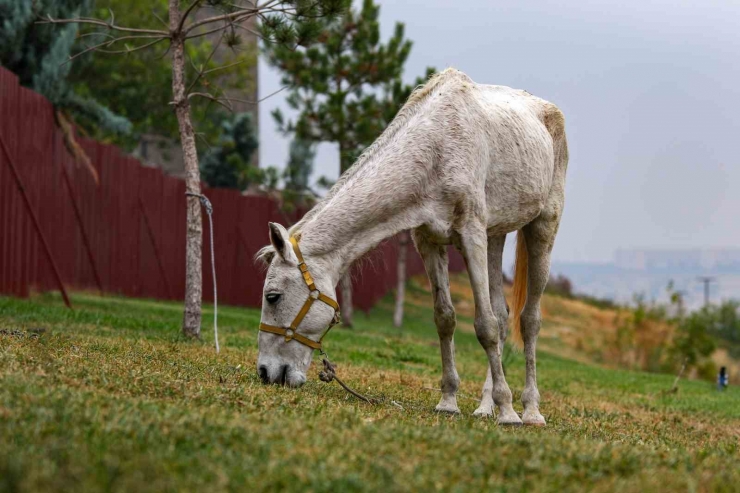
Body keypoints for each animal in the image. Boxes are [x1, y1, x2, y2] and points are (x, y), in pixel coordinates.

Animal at [254, 67, 568, 424]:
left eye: (273, 296)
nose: (265, 372)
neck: (437, 146)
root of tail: (548, 111)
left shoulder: (471, 234)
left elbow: (484, 326)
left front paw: (508, 411)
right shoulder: (428, 241)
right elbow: (446, 319)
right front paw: (449, 401)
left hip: (542, 226)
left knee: (528, 321)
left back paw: (529, 410)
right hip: (495, 236)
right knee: (503, 318)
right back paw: (485, 406)